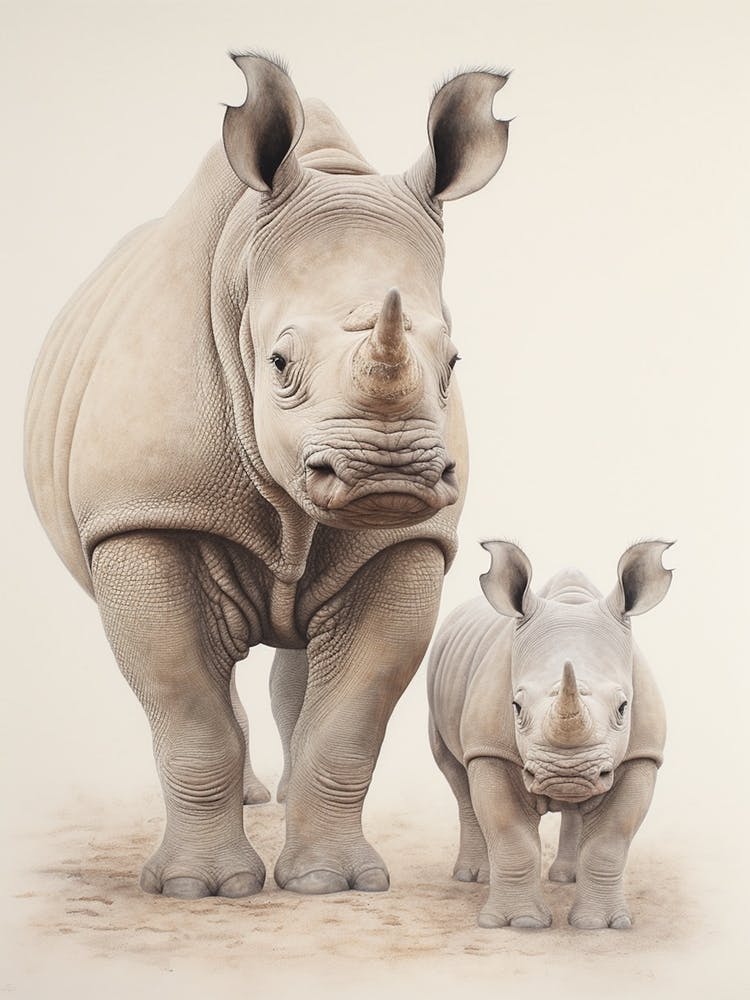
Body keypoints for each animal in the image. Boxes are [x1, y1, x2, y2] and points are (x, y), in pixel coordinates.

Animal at [24, 53, 510, 899]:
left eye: (452, 363)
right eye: (279, 364)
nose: (389, 473)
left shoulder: (408, 539)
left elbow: (350, 719)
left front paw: (332, 885)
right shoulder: (145, 513)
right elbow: (186, 707)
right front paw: (201, 891)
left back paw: (278, 801)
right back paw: (252, 806)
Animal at [428, 540, 671, 928]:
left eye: (623, 708)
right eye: (515, 707)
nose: (566, 774)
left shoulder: (642, 754)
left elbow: (611, 839)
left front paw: (601, 925)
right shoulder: (490, 748)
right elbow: (510, 832)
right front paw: (520, 923)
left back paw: (565, 878)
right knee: (456, 774)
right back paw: (472, 876)